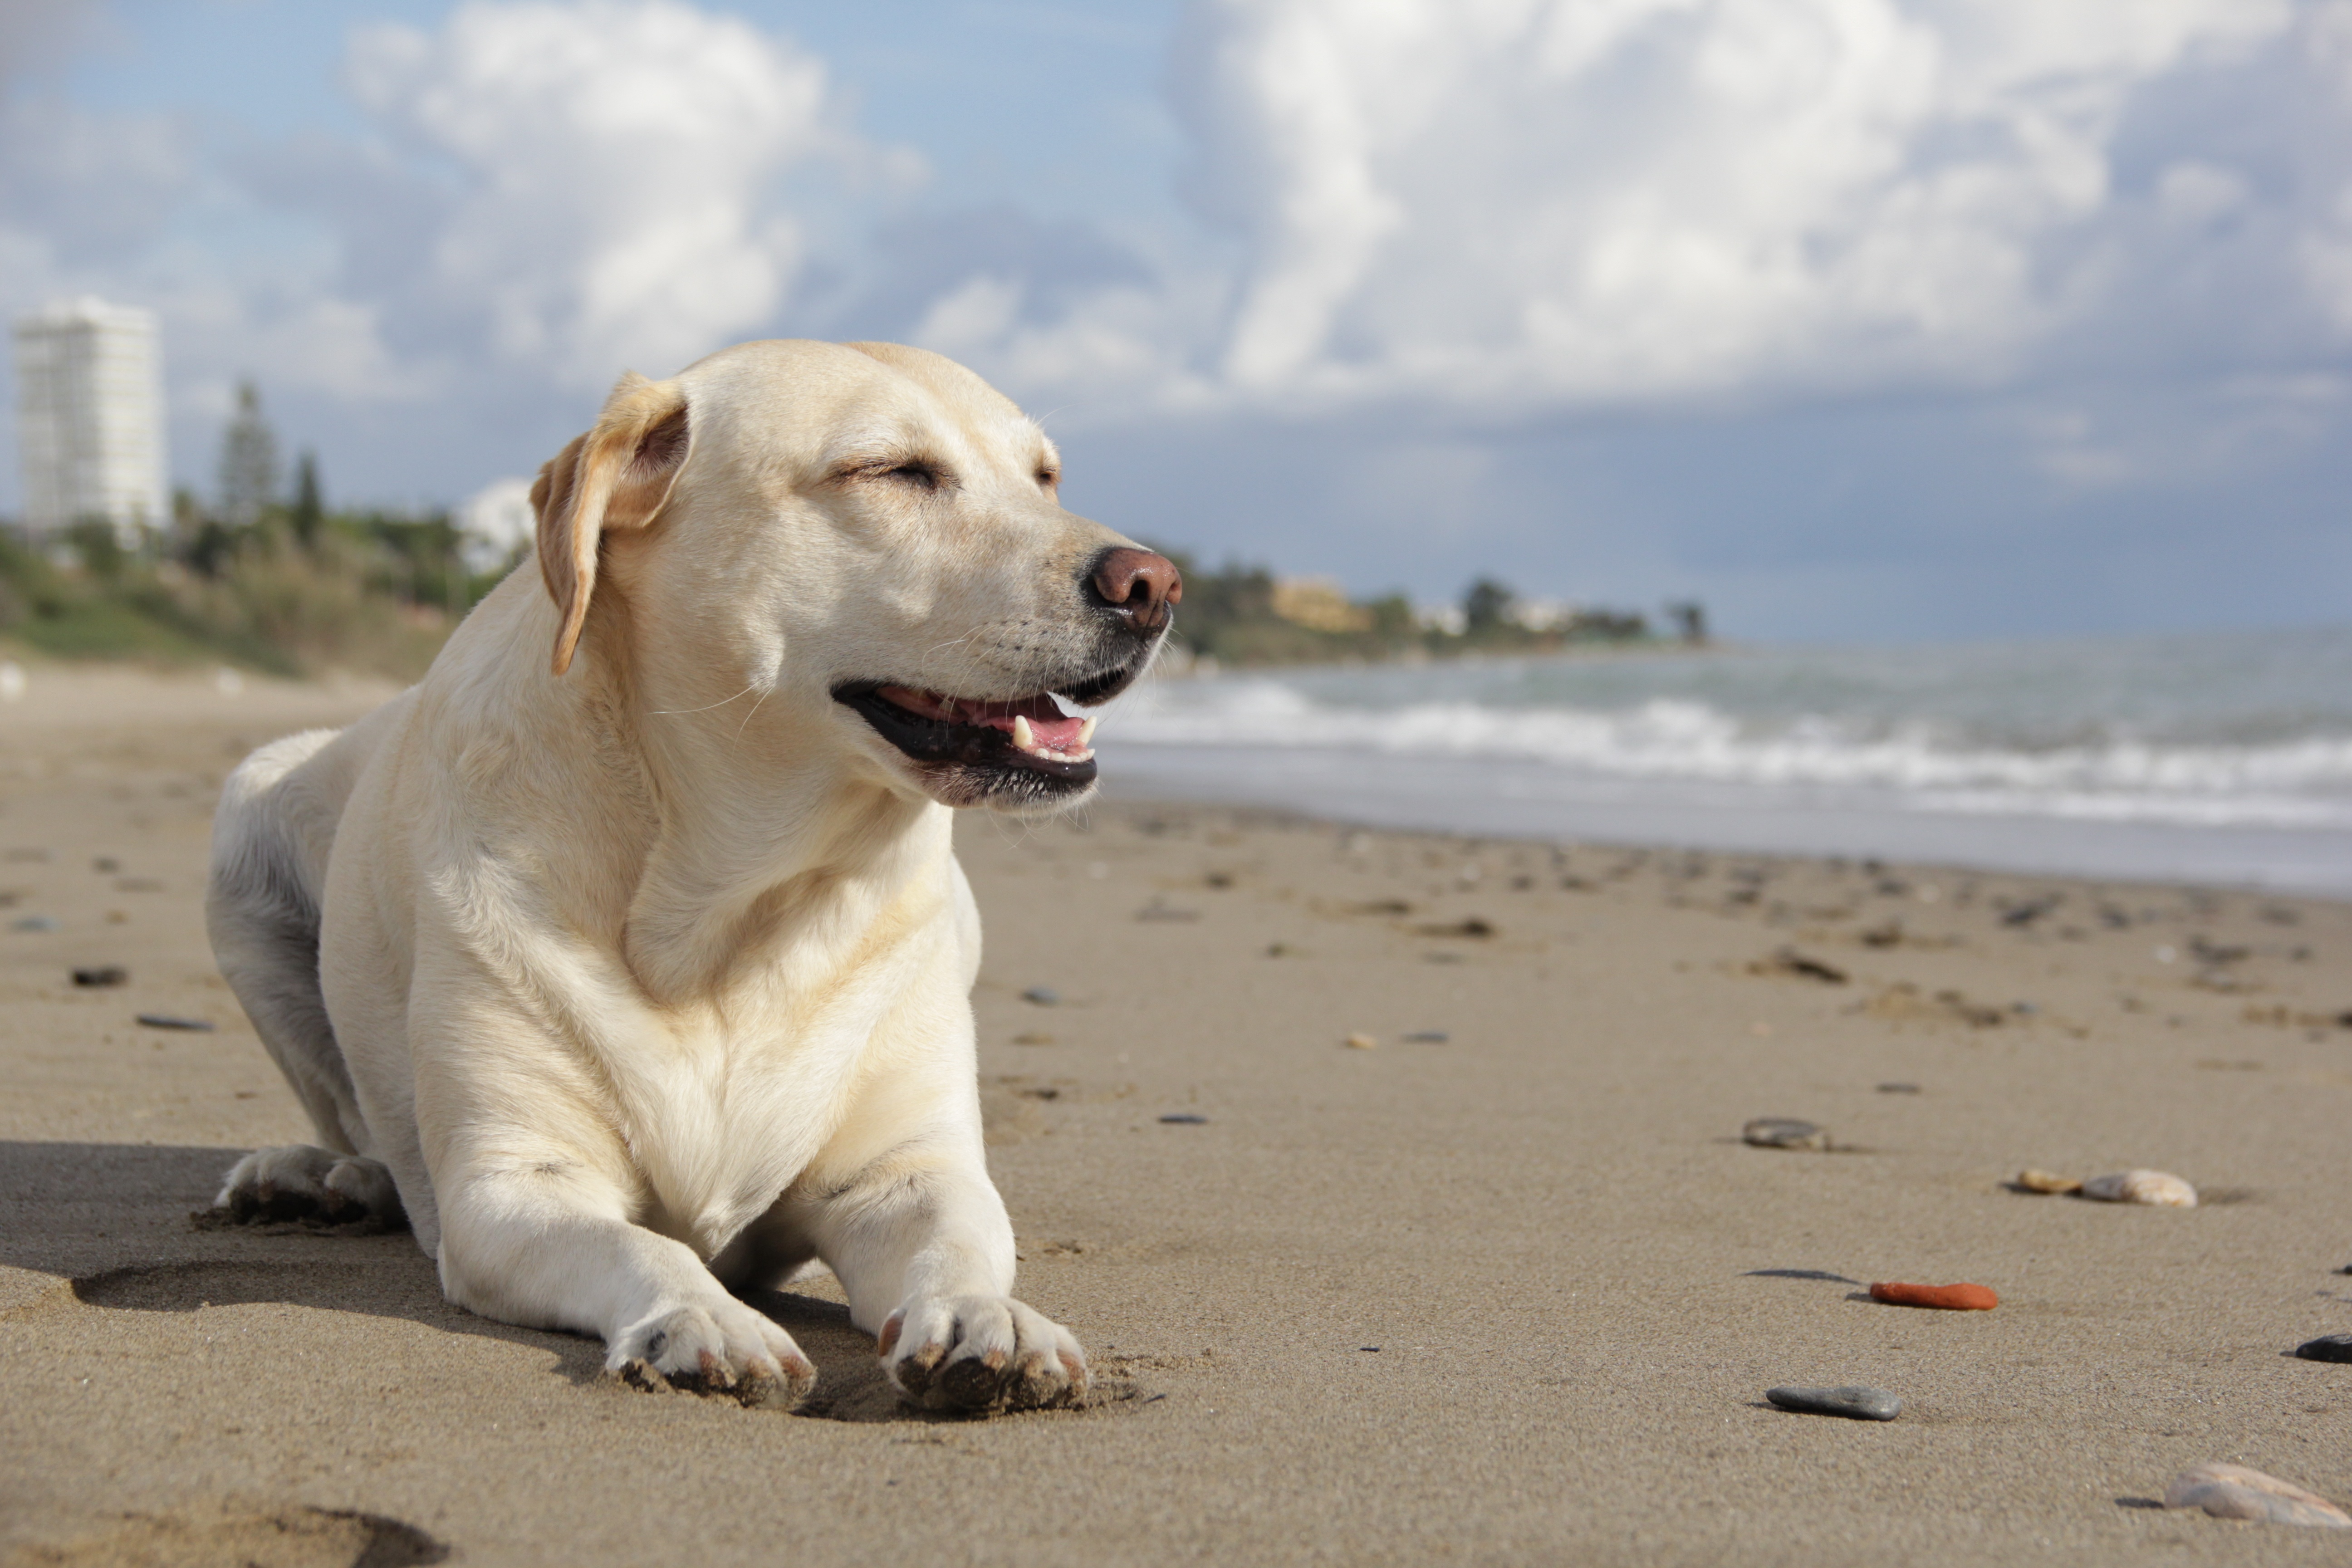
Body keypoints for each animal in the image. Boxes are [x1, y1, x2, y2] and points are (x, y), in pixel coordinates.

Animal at [207, 338, 1176, 1420]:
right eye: (892, 471)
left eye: (1045, 477)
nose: (1154, 584)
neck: (732, 911)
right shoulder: (513, 1186)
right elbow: (641, 1247)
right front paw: (704, 1316)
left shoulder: (908, 1173)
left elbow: (960, 1243)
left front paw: (989, 1318)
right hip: (246, 816)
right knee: (358, 1123)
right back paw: (320, 1178)